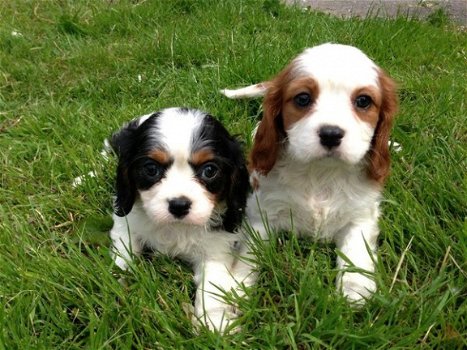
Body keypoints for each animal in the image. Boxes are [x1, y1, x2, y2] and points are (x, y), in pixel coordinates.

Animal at [109, 108, 252, 332]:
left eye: (210, 171)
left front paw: (214, 324)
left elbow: (212, 286)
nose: (179, 205)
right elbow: (124, 255)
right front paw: (117, 288)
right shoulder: (126, 223)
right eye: (151, 169)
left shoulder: (217, 247)